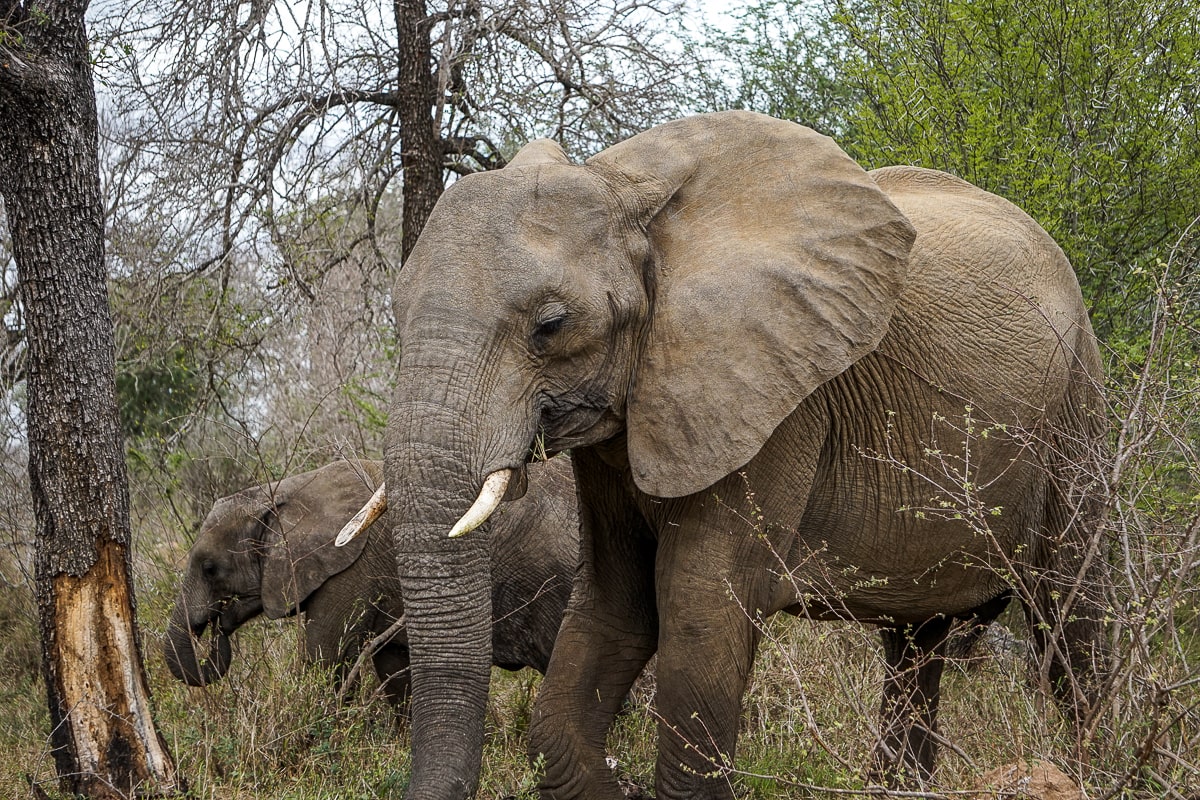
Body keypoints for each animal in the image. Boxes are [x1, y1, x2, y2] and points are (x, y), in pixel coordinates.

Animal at [163, 455, 577, 717]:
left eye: (210, 568)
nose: (218, 627)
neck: (282, 491)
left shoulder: (351, 570)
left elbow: (323, 660)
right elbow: (395, 671)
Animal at [339, 110, 1111, 799]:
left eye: (551, 325)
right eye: (396, 313)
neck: (625, 188)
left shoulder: (780, 401)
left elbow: (698, 616)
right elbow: (612, 610)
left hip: (1078, 402)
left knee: (1075, 620)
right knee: (915, 645)